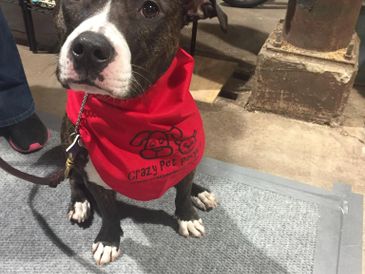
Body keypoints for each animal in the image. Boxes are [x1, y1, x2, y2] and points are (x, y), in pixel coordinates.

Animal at [54, 0, 225, 266]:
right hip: (69, 145)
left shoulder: (187, 155)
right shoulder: (95, 176)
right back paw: (80, 203)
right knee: (73, 178)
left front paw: (187, 216)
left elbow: (183, 192)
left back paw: (201, 193)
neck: (137, 109)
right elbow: (109, 212)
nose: (89, 48)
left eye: (150, 9)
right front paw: (108, 240)